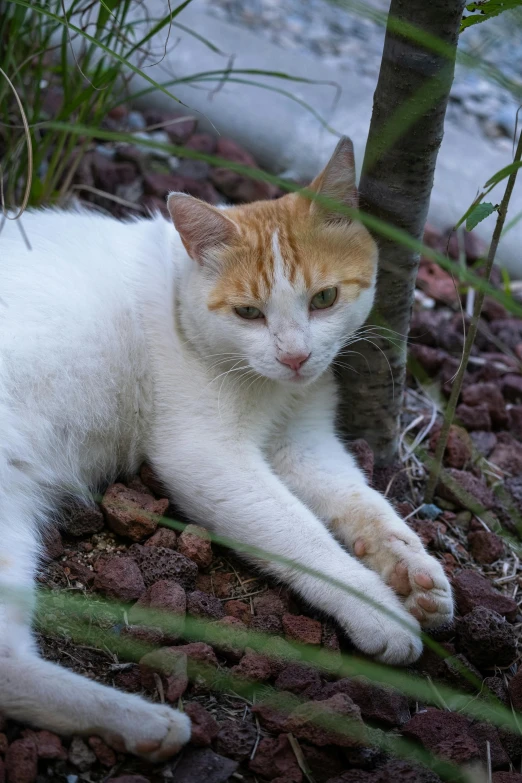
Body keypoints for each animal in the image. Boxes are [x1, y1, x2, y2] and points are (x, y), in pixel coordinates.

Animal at [0, 136, 450, 760]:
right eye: (248, 313)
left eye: (325, 298)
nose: (295, 357)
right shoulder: (208, 458)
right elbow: (300, 534)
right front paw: (376, 607)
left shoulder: (305, 445)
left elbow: (368, 505)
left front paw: (413, 569)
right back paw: (145, 722)